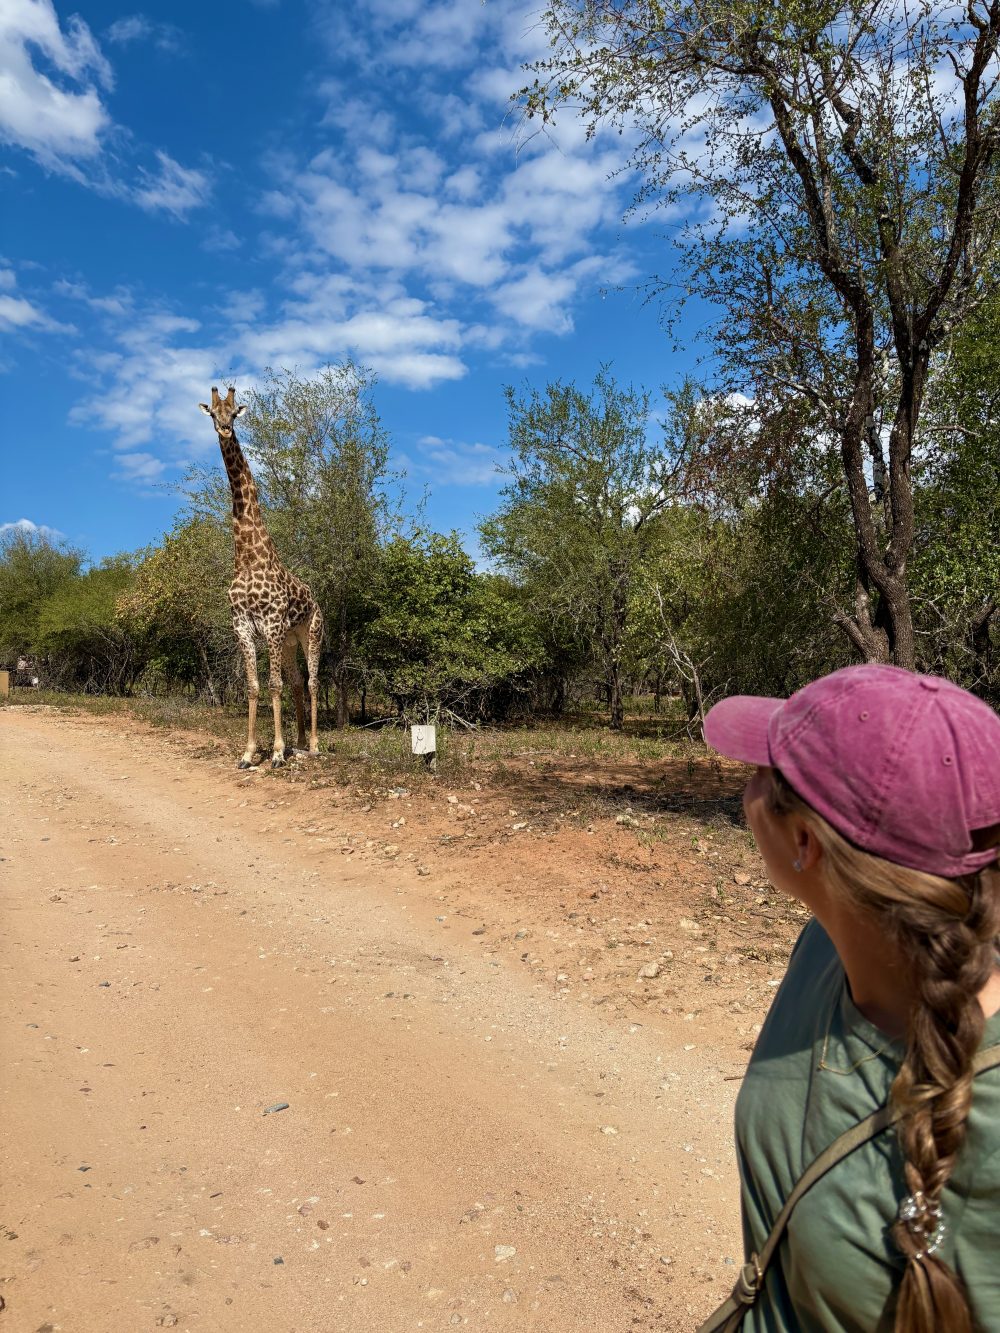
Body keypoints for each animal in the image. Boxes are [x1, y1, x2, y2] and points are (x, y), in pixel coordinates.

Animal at [199, 385, 324, 768]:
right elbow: (254, 687)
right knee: (298, 681)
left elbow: (273, 686)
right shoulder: (242, 626)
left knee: (313, 681)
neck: (248, 557)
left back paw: (313, 745)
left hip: (311, 632)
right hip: (289, 639)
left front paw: (278, 753)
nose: (225, 429)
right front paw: (249, 752)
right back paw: (300, 740)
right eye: (213, 413)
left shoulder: (270, 624)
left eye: (235, 412)